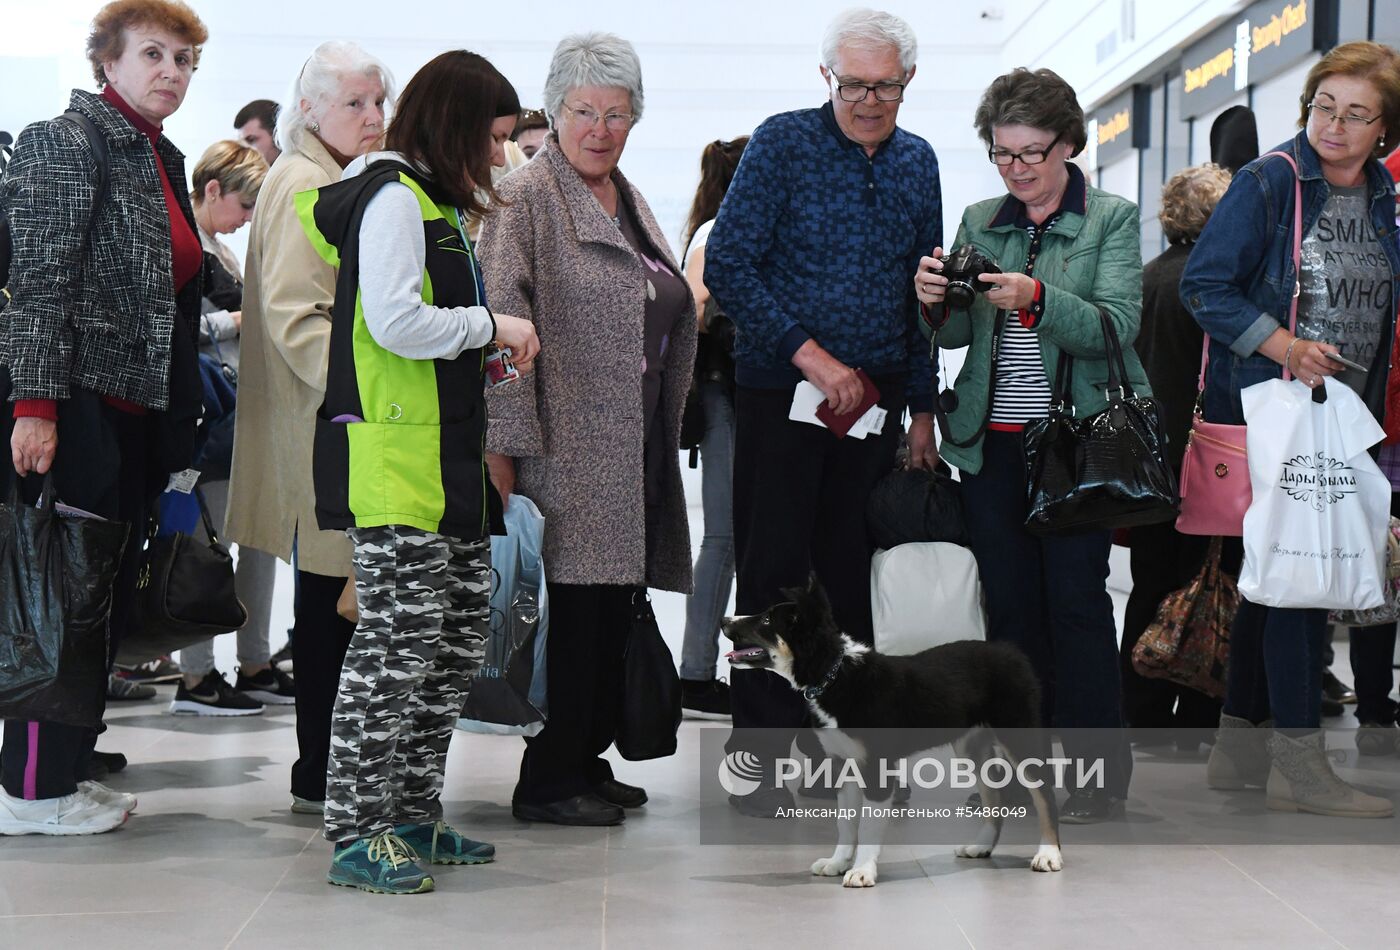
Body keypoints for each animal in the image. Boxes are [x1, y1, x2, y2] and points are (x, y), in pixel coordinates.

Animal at [722, 573, 1058, 889]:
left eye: (767, 620)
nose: (725, 621)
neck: (837, 676)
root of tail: (1011, 652)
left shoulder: (876, 766)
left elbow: (869, 826)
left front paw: (861, 871)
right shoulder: (842, 763)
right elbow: (846, 823)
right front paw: (837, 863)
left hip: (1019, 733)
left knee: (1043, 793)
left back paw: (1049, 853)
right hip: (970, 746)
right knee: (993, 793)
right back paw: (982, 846)